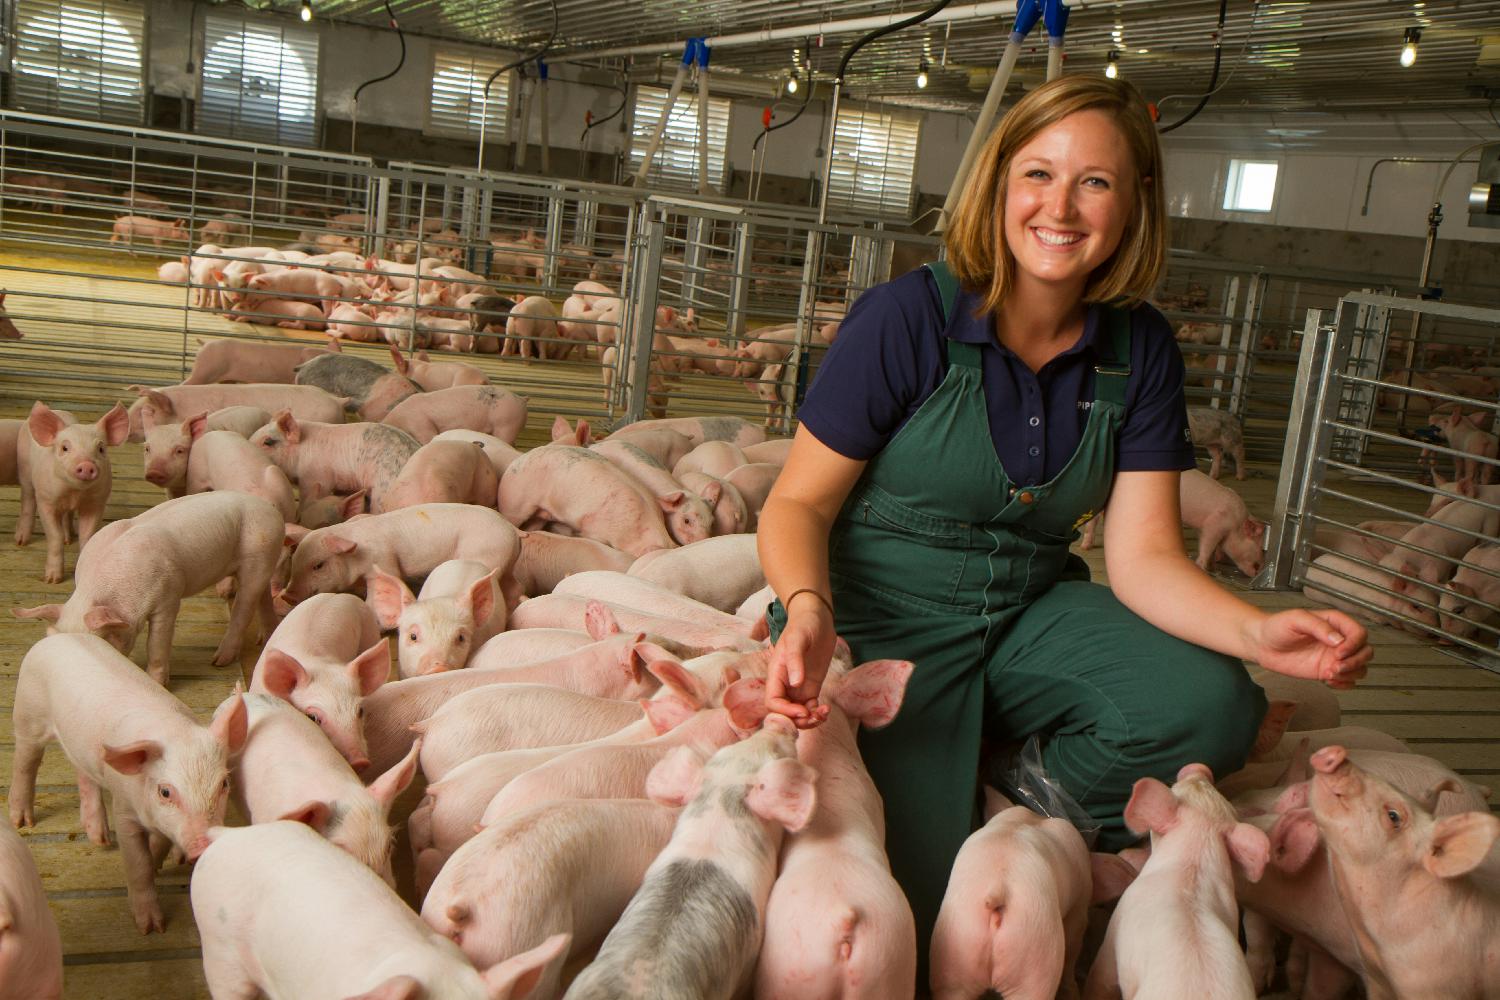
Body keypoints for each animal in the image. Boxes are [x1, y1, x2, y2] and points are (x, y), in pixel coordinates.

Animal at [11, 638, 247, 935]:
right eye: (165, 791)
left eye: (224, 783)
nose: (203, 846)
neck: (172, 732)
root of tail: (55, 638)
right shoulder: (124, 809)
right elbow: (138, 863)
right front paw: (152, 928)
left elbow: (159, 843)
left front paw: (159, 864)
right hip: (28, 713)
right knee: (25, 762)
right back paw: (23, 822)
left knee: (82, 771)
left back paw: (99, 838)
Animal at [14, 398, 127, 581]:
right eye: (65, 448)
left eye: (101, 449)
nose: (87, 465)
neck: (74, 492)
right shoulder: (46, 501)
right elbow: (55, 536)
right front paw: (52, 580)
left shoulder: (96, 503)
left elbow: (87, 536)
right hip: (24, 469)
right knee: (28, 501)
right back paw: (21, 541)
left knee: (67, 514)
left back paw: (68, 539)